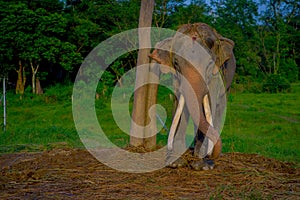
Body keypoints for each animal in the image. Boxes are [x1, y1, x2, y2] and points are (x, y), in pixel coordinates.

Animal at [149, 23, 236, 170]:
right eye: (176, 63)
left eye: (210, 64)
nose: (211, 155)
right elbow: (179, 104)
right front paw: (175, 162)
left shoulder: (215, 76)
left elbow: (210, 103)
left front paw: (202, 165)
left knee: (219, 107)